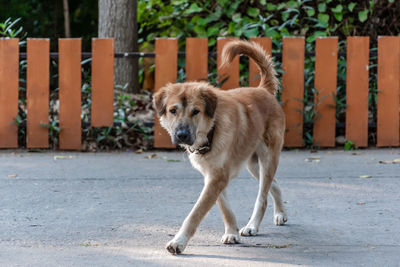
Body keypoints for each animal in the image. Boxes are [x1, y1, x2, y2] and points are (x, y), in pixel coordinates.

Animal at [153, 40, 288, 255]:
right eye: (173, 110)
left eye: (196, 111)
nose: (181, 135)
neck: (211, 131)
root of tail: (263, 90)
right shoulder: (213, 176)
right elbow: (225, 207)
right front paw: (231, 232)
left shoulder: (217, 178)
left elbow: (195, 213)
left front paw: (178, 241)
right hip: (252, 164)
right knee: (273, 184)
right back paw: (280, 213)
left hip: (267, 158)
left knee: (263, 196)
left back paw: (252, 225)